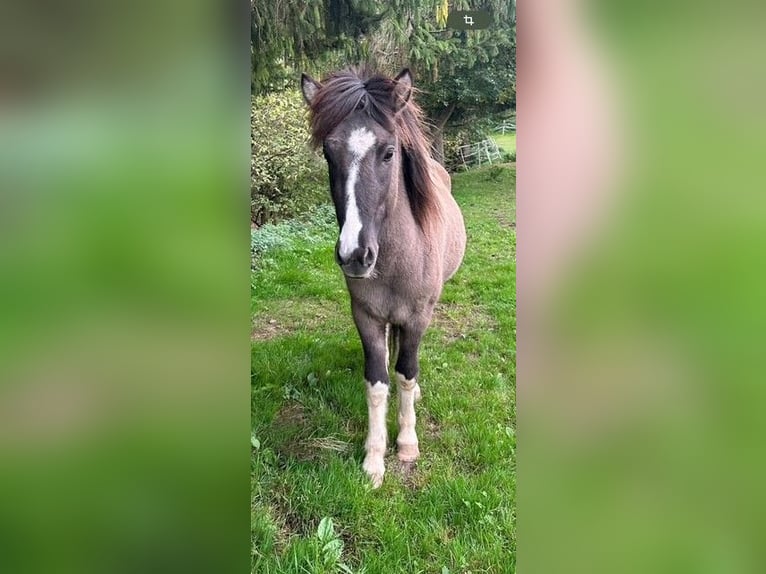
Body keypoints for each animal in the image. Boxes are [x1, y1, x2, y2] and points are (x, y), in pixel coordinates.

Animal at [300, 67, 466, 488]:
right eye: (328, 153)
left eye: (389, 152)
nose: (354, 255)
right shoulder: (367, 317)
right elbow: (377, 383)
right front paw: (374, 459)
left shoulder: (418, 317)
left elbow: (406, 373)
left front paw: (407, 444)